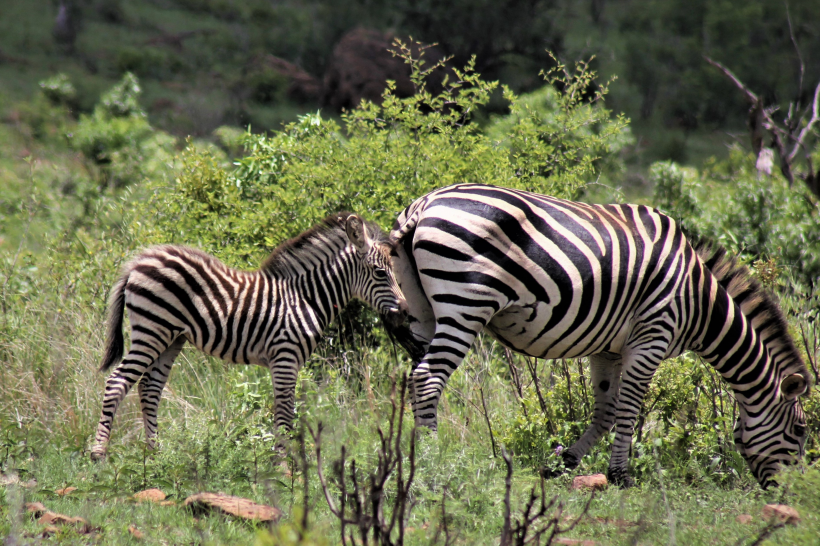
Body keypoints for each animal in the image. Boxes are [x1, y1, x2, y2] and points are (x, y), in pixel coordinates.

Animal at [90, 212, 406, 460]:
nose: (404, 311)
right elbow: (285, 411)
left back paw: (155, 453)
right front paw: (283, 467)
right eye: (380, 273)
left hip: (171, 337)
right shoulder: (285, 356)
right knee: (117, 382)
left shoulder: (288, 360)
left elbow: (285, 410)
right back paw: (99, 454)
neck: (305, 298)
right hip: (151, 329)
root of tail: (139, 260)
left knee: (149, 388)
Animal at [388, 184, 812, 488]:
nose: (791, 492)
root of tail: (424, 203)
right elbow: (629, 409)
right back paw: (431, 458)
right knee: (428, 378)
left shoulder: (608, 349)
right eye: (801, 431)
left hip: (424, 309)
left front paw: (563, 464)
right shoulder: (652, 336)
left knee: (418, 375)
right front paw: (621, 475)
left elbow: (606, 411)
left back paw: (415, 453)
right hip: (467, 302)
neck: (698, 301)